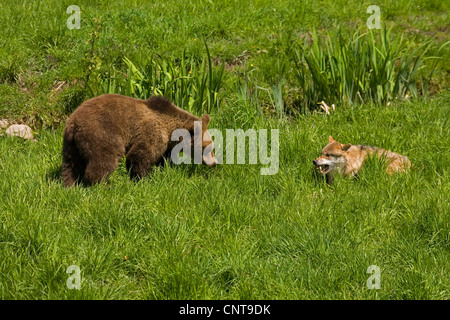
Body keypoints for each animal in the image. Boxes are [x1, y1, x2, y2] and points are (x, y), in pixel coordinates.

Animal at [62, 94, 217, 186]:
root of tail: (74, 122)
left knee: (71, 164)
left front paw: (162, 171)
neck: (170, 129)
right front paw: (141, 179)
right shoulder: (152, 131)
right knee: (104, 158)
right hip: (101, 132)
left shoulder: (166, 144)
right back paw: (103, 185)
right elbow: (140, 155)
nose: (214, 162)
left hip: (71, 144)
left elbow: (162, 159)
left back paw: (71, 185)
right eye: (208, 146)